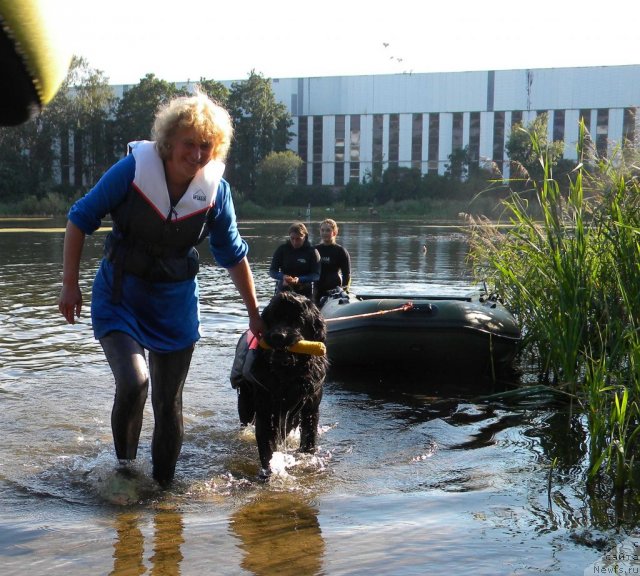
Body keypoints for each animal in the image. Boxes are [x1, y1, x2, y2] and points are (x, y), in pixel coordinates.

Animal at [231, 292, 330, 476]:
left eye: (298, 319)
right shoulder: (266, 409)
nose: (278, 336)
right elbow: (267, 446)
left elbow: (309, 439)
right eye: (273, 317)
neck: (288, 373)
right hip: (246, 402)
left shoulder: (311, 407)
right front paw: (270, 470)